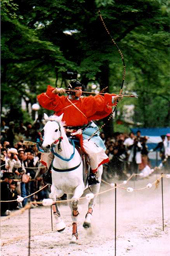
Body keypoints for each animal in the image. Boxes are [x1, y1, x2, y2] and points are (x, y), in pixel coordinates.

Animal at [41, 114, 102, 242]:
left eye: (56, 130)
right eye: (44, 129)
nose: (45, 147)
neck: (65, 163)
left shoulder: (79, 187)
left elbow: (75, 205)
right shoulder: (57, 187)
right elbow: (52, 198)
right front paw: (60, 225)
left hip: (96, 183)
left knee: (92, 201)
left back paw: (87, 222)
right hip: (69, 192)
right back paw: (74, 234)